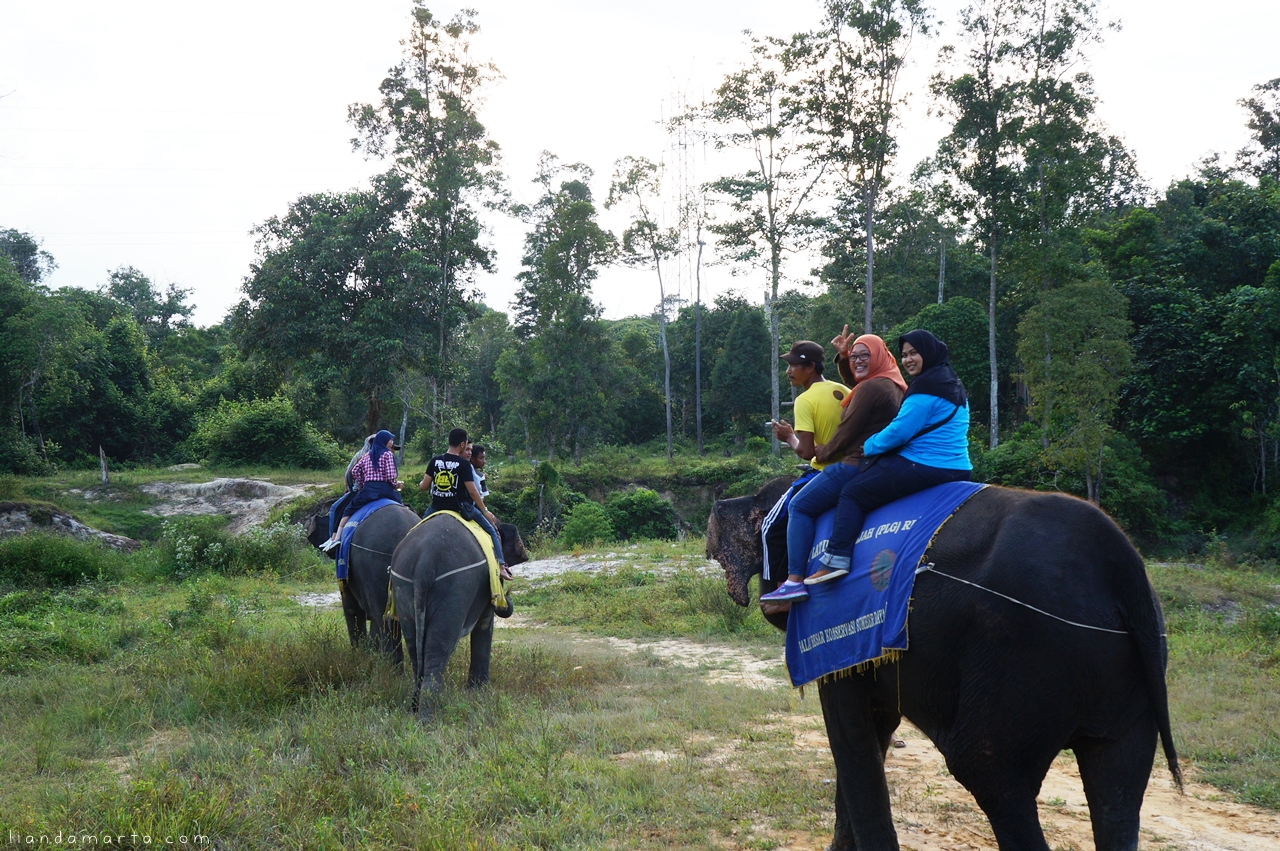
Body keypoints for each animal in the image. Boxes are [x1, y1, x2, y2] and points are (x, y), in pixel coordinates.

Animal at [389, 514, 529, 722]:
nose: (508, 588)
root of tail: (423, 563)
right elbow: (485, 623)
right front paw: (480, 690)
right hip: (455, 589)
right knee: (440, 646)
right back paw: (427, 717)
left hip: (403, 585)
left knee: (415, 646)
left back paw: (415, 707)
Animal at [707, 477, 1180, 851]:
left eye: (759, 516)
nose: (716, 508)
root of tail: (1124, 566)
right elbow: (876, 728)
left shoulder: (831, 619)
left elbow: (848, 732)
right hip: (1125, 667)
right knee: (1117, 789)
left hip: (1027, 652)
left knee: (985, 768)